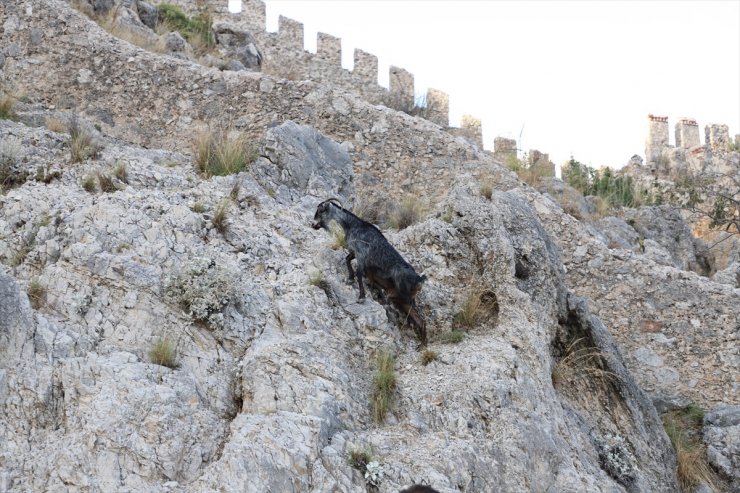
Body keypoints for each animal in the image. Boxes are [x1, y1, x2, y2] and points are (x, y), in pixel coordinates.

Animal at [312, 197, 428, 342]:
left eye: (321, 210)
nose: (313, 224)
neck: (353, 225)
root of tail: (419, 280)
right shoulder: (354, 252)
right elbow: (347, 259)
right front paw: (350, 279)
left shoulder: (362, 255)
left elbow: (359, 272)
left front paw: (361, 297)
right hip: (402, 300)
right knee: (419, 320)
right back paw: (422, 342)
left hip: (404, 296)